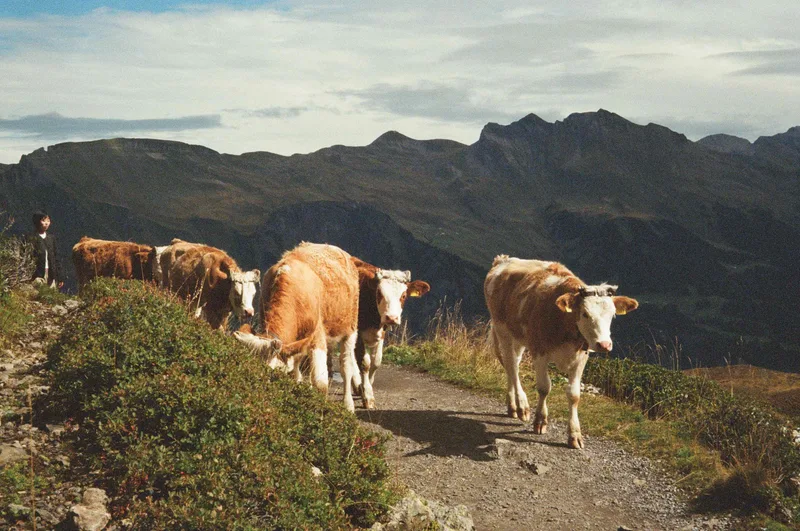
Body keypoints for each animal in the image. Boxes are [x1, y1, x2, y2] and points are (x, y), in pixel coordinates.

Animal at [232, 242, 362, 412]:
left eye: (274, 374)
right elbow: (296, 373)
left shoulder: (317, 335)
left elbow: (321, 383)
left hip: (350, 328)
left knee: (346, 365)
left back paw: (348, 405)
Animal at [351, 257, 430, 409]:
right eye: (379, 293)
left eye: (404, 295)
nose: (391, 318)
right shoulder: (357, 333)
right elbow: (364, 363)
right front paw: (367, 395)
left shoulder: (382, 331)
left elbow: (376, 361)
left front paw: (366, 386)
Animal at [484, 255, 638, 449]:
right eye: (585, 314)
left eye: (612, 315)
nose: (604, 344)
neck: (565, 323)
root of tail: (503, 259)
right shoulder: (540, 351)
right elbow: (544, 388)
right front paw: (540, 421)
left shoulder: (581, 358)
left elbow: (574, 395)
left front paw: (574, 434)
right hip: (502, 330)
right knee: (511, 366)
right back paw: (521, 407)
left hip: (518, 337)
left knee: (513, 366)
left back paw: (512, 406)